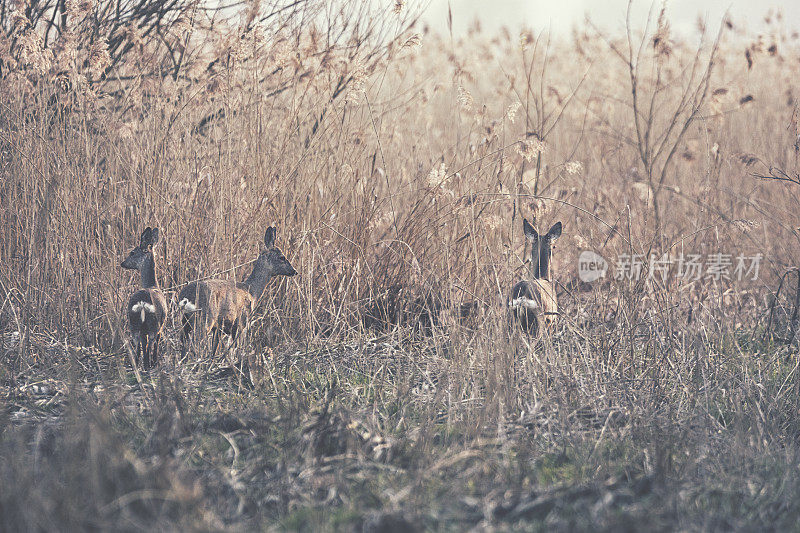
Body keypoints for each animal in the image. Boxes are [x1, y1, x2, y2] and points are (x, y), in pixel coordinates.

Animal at [119, 225, 166, 370]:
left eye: (132, 253)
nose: (123, 263)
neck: (153, 285)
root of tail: (143, 304)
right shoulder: (162, 325)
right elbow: (155, 345)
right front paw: (154, 362)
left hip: (133, 324)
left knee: (137, 346)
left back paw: (137, 365)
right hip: (153, 324)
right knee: (149, 345)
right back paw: (148, 365)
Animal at [177, 224, 296, 362]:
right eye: (282, 257)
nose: (294, 271)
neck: (251, 290)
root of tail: (186, 296)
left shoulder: (219, 328)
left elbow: (214, 350)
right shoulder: (241, 322)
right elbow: (238, 349)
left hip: (185, 322)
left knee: (183, 344)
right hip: (205, 318)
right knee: (195, 342)